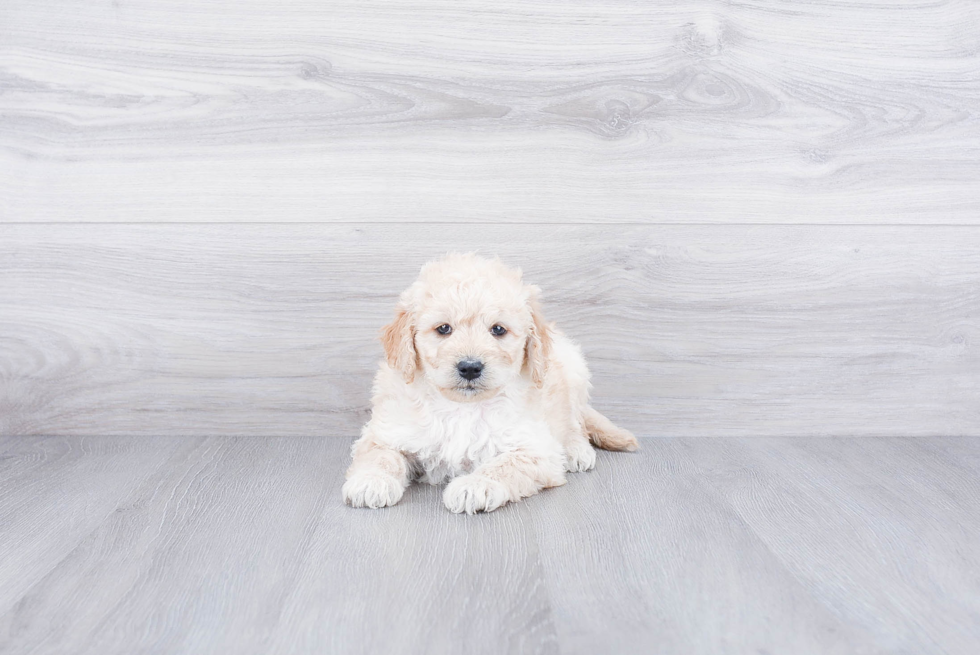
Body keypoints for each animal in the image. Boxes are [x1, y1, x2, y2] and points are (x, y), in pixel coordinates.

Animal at [340, 254, 640, 516]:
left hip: (574, 368)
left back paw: (578, 450)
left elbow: (504, 465)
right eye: (443, 328)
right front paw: (371, 481)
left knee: (575, 420)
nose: (470, 367)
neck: (461, 408)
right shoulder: (385, 430)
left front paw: (474, 486)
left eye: (498, 330)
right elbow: (381, 456)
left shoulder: (535, 449)